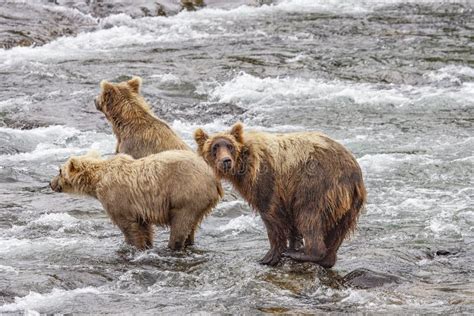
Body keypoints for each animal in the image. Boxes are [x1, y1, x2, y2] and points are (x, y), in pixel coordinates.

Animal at [50, 150, 224, 249]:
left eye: (59, 171)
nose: (50, 183)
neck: (97, 180)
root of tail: (212, 177)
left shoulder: (116, 197)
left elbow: (128, 225)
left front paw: (134, 245)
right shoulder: (139, 207)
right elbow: (143, 226)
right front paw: (147, 245)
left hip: (186, 194)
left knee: (180, 224)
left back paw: (172, 246)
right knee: (190, 227)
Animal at [193, 122, 366, 268]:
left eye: (229, 146)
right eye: (215, 147)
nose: (226, 161)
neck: (244, 167)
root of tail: (354, 171)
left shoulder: (268, 181)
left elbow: (272, 216)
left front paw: (269, 256)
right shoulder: (287, 192)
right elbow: (291, 222)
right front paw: (293, 245)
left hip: (317, 184)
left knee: (309, 215)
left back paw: (306, 254)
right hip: (350, 203)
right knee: (339, 230)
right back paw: (327, 259)